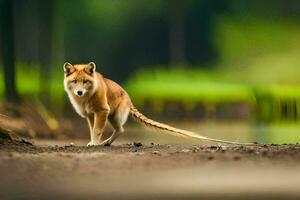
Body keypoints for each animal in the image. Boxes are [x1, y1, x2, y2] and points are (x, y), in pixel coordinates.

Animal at [63, 61, 253, 146]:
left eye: (85, 81)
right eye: (74, 81)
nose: (79, 92)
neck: (85, 98)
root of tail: (129, 98)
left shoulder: (102, 110)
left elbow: (97, 129)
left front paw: (94, 143)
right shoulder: (90, 114)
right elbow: (92, 129)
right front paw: (92, 142)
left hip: (113, 114)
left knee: (121, 129)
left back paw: (105, 143)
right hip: (112, 116)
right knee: (120, 129)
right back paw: (107, 143)